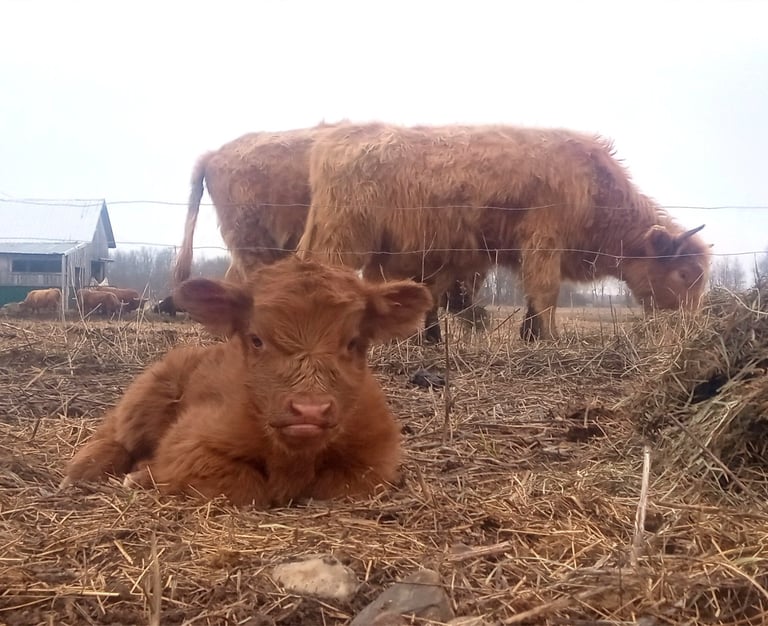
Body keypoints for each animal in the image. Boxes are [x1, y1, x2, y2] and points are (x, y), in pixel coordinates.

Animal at [60, 257, 433, 507]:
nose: (310, 410)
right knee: (115, 437)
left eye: (354, 343)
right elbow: (245, 486)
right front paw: (146, 474)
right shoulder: (189, 440)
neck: (293, 457)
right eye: (256, 339)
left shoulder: (377, 460)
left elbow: (336, 486)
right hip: (148, 393)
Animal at [297, 122, 711, 341]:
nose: (691, 325)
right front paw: (550, 338)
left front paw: (530, 335)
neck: (597, 192)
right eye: (684, 273)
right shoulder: (543, 242)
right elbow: (546, 292)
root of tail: (340, 134)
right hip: (343, 240)